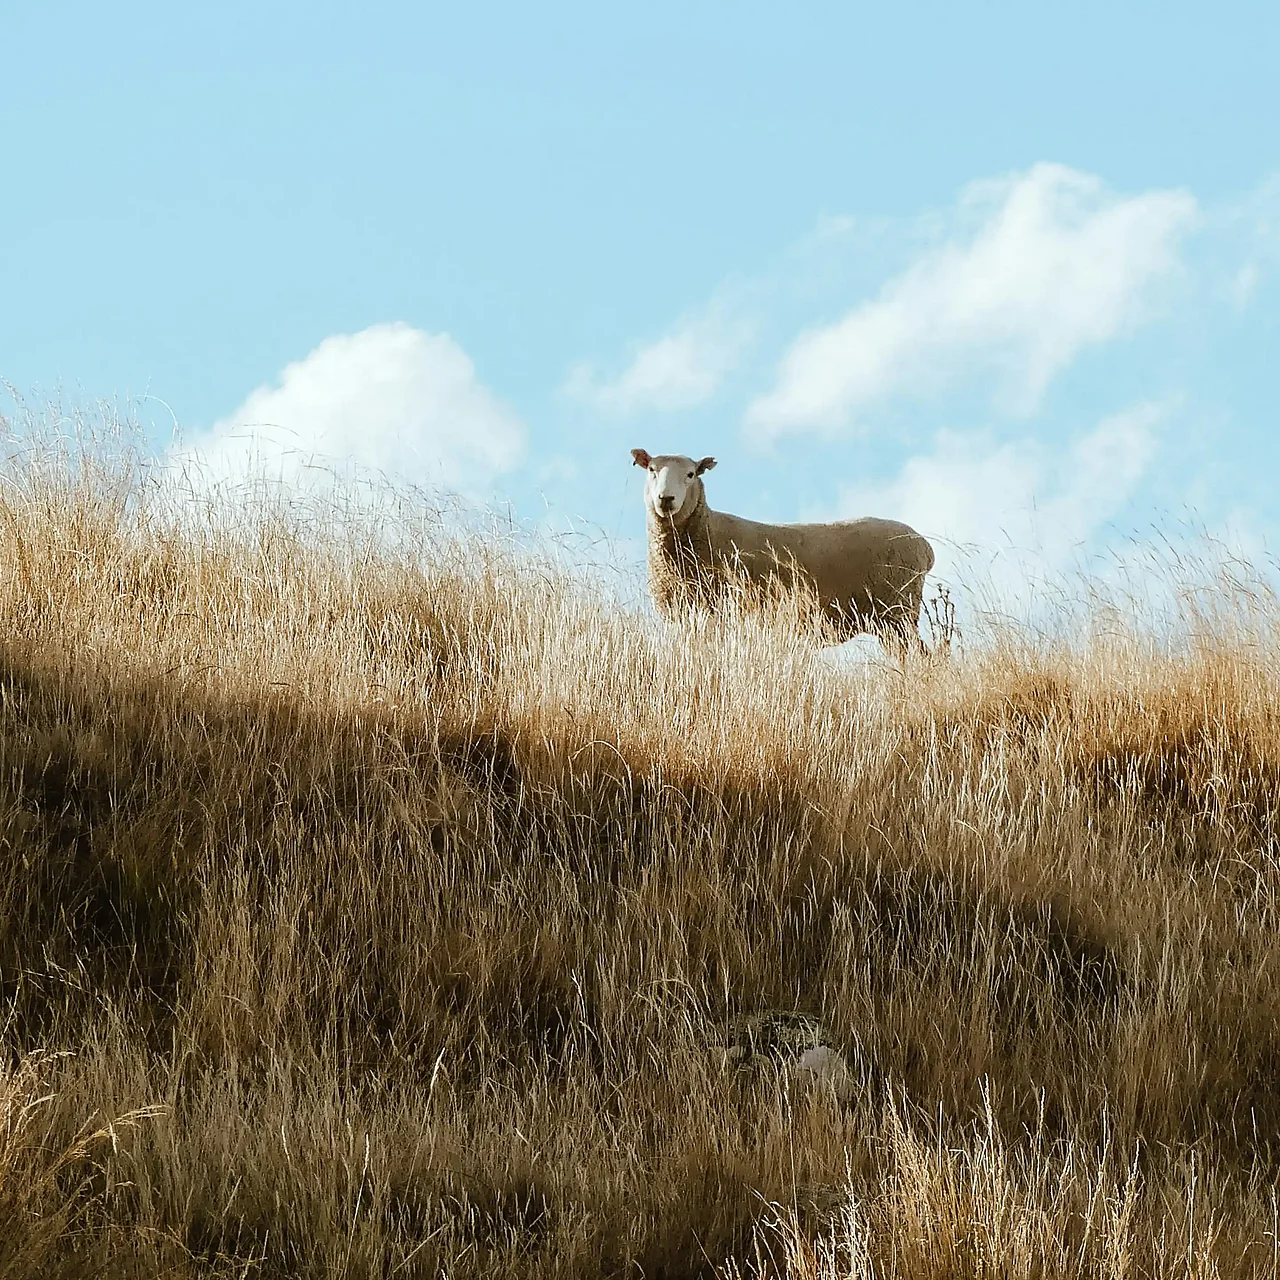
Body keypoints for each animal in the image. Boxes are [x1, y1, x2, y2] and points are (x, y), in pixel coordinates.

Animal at [631, 448, 935, 654]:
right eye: (651, 470)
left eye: (691, 474)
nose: (666, 499)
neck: (706, 529)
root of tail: (925, 546)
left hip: (898, 612)